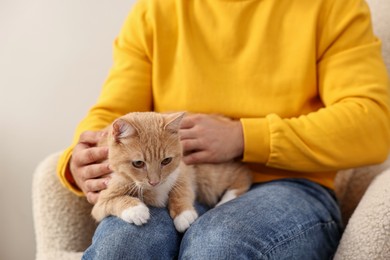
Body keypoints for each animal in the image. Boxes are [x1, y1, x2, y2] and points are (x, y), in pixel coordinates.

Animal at [91, 111, 251, 232]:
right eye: (138, 163)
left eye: (166, 161)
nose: (154, 182)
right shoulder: (100, 202)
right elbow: (114, 201)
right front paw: (136, 210)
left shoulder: (183, 170)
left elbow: (181, 190)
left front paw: (184, 214)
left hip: (210, 176)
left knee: (243, 174)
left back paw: (226, 200)